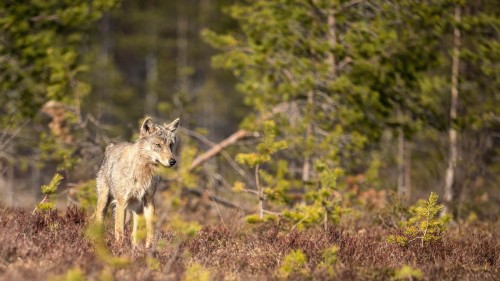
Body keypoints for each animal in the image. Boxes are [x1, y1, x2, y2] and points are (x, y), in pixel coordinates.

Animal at [94, 117, 180, 246]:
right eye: (158, 145)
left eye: (170, 145)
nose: (173, 161)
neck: (143, 171)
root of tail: (111, 146)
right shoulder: (121, 202)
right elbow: (119, 231)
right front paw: (120, 249)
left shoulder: (149, 201)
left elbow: (150, 230)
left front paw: (148, 248)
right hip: (105, 202)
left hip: (136, 209)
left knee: (134, 234)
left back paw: (135, 248)